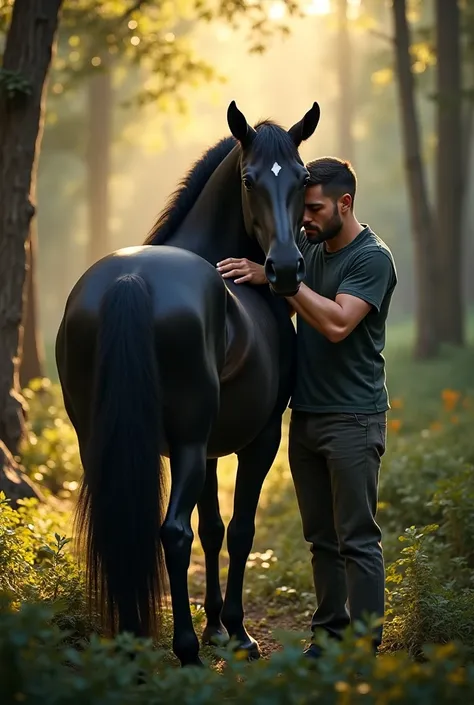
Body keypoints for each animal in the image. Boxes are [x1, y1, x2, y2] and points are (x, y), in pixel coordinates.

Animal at [57, 100, 320, 664]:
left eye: (303, 178)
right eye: (248, 180)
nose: (286, 269)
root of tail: (129, 281)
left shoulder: (210, 449)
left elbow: (213, 527)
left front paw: (216, 625)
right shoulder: (256, 439)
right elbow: (238, 530)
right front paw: (236, 632)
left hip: (101, 441)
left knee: (125, 527)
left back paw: (133, 645)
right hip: (189, 444)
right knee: (173, 534)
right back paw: (185, 652)